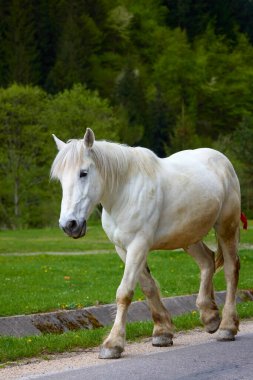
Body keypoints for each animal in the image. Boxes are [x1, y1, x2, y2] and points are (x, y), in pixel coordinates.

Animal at [51, 128, 241, 360]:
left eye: (83, 173)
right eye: (60, 179)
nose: (69, 225)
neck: (124, 192)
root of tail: (223, 161)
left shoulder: (138, 245)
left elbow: (124, 293)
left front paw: (113, 344)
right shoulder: (123, 249)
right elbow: (148, 287)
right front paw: (162, 332)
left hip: (226, 228)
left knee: (231, 270)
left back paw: (227, 327)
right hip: (189, 236)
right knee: (207, 262)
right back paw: (210, 316)